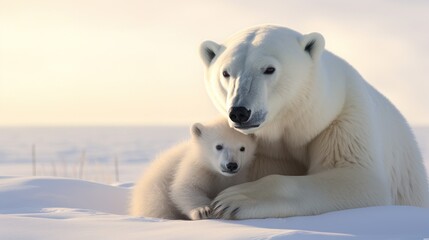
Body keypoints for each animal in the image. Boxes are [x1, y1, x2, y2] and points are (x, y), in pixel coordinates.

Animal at [201, 24, 428, 219]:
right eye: (226, 73)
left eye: (269, 69)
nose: (240, 112)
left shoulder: (342, 118)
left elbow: (359, 178)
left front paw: (232, 199)